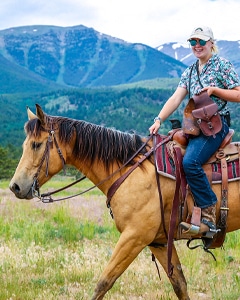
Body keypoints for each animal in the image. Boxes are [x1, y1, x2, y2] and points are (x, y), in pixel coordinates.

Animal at [8, 104, 240, 298]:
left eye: (36, 145)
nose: (15, 186)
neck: (130, 170)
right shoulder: (159, 241)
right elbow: (179, 283)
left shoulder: (134, 237)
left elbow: (104, 282)